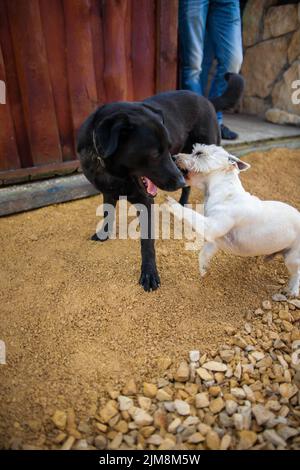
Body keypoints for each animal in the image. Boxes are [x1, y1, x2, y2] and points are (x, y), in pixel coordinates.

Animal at [77, 73, 244, 290]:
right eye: (155, 154)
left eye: (168, 147)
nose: (179, 181)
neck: (115, 172)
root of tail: (204, 98)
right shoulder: (108, 191)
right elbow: (107, 213)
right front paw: (103, 234)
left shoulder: (146, 201)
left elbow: (147, 243)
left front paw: (149, 273)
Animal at [165, 144, 298, 298]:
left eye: (199, 153)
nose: (174, 156)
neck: (224, 193)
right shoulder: (214, 240)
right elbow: (203, 253)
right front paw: (203, 270)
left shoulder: (212, 227)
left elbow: (189, 213)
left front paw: (172, 204)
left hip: (293, 258)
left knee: (297, 275)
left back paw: (291, 291)